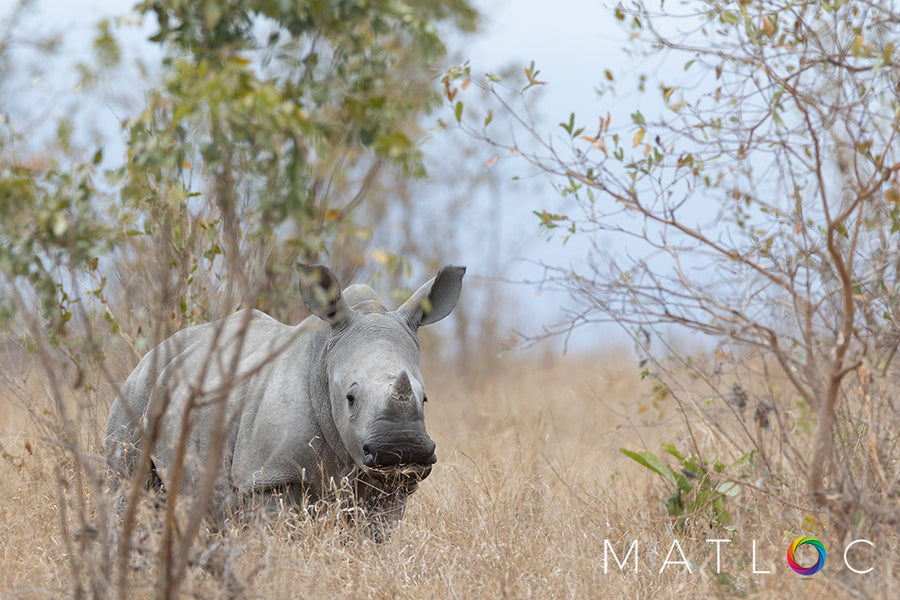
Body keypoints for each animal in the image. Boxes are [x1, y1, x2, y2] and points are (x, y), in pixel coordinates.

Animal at [107, 264, 464, 536]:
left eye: (425, 398)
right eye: (349, 398)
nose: (402, 450)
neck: (323, 360)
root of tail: (152, 353)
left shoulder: (389, 484)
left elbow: (374, 534)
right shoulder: (270, 475)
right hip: (136, 388)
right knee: (127, 483)